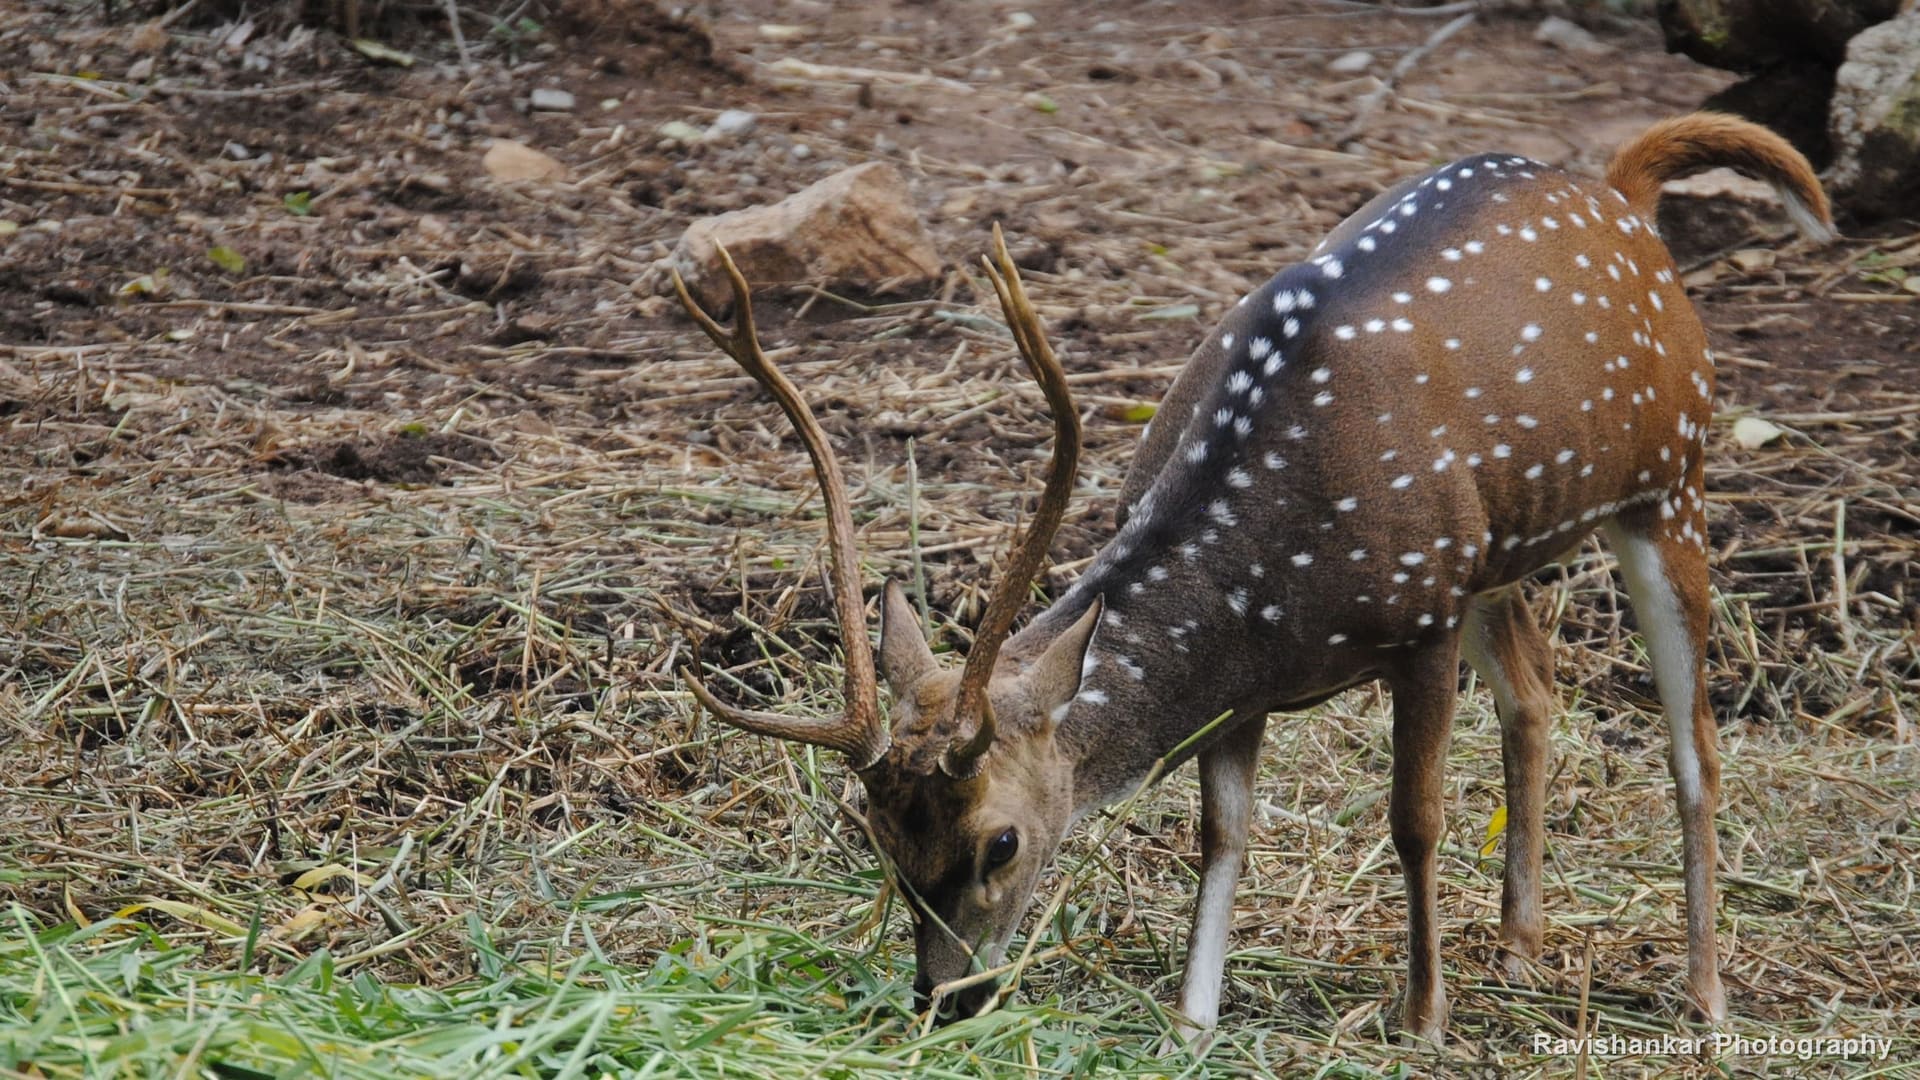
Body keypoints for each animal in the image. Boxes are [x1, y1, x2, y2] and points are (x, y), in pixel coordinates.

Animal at [669, 112, 1833, 1045]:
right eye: (873, 830)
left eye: (1000, 840)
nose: (943, 999)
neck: (1275, 584)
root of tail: (1624, 197)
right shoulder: (1248, 681)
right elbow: (1221, 835)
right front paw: (1193, 1019)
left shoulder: (1423, 614)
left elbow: (1414, 820)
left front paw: (1421, 1018)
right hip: (1504, 547)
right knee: (1538, 694)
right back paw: (1518, 949)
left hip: (1669, 480)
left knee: (1694, 745)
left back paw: (1704, 996)